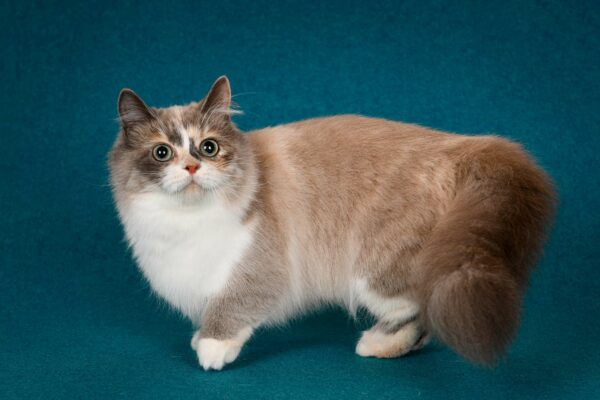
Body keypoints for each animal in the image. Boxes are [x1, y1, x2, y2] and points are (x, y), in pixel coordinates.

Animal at [110, 76, 556, 370]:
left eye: (208, 147)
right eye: (163, 152)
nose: (190, 167)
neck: (184, 224)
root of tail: (463, 145)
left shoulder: (257, 268)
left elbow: (232, 307)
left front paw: (211, 347)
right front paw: (200, 336)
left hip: (376, 270)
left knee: (418, 307)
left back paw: (376, 344)